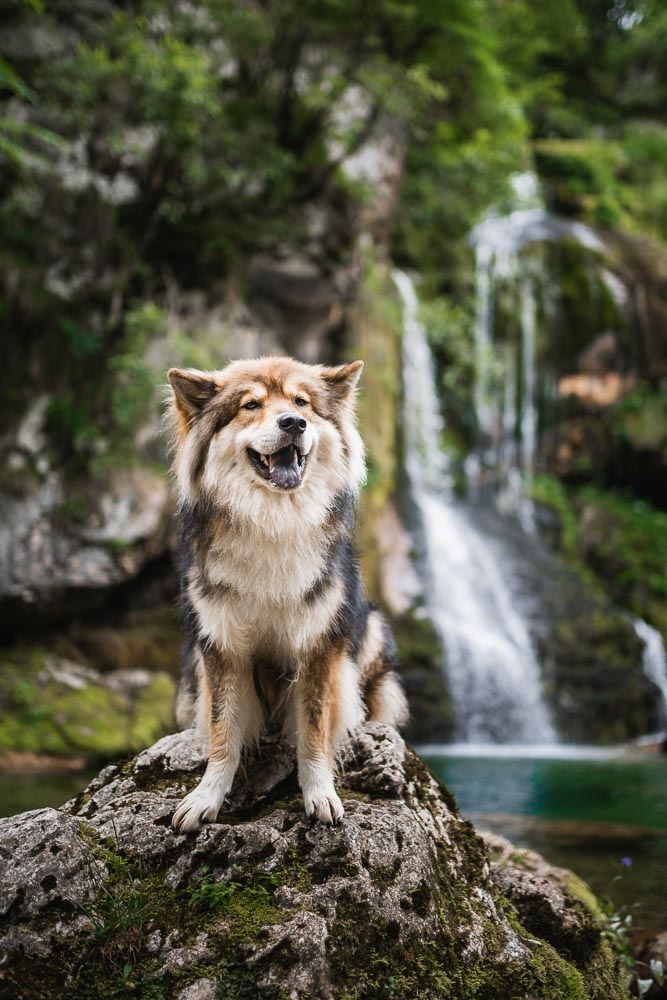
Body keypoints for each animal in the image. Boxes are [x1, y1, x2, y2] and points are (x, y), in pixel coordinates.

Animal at [166, 356, 408, 832]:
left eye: (301, 403)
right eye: (250, 405)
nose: (293, 423)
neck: (273, 520)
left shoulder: (319, 647)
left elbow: (314, 730)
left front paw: (320, 794)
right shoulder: (222, 648)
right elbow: (223, 730)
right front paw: (206, 797)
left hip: (370, 625)